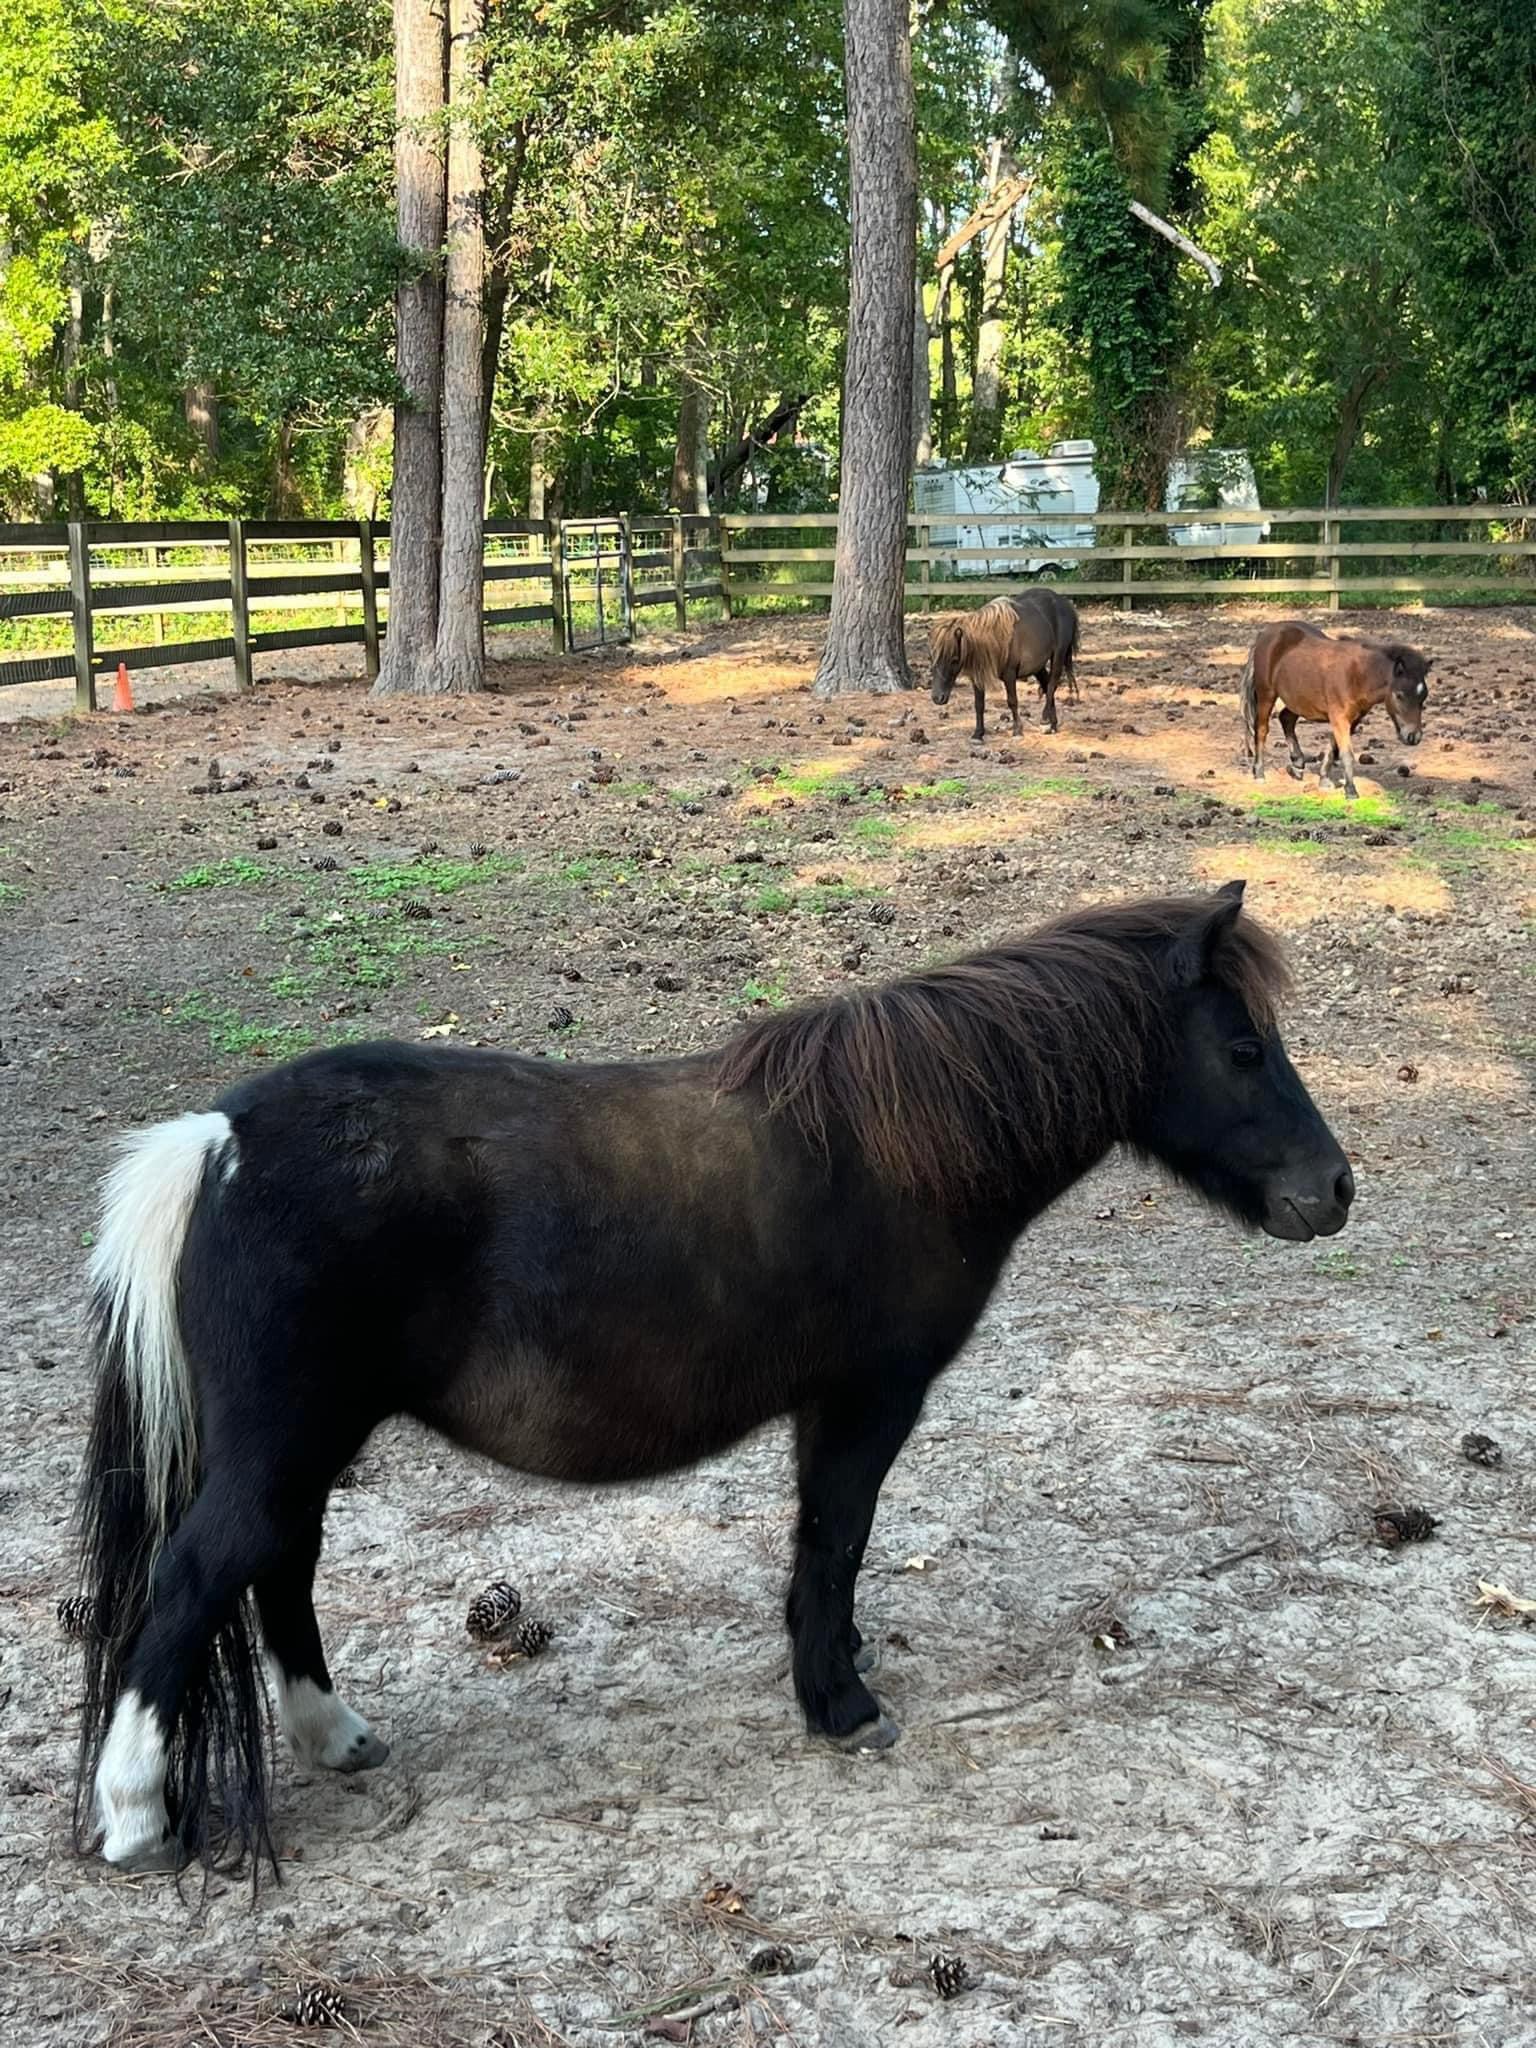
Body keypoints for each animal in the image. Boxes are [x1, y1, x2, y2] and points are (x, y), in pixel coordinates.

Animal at [71, 884, 1353, 1877]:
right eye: (1245, 1048)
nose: (1333, 1189)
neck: (903, 1148)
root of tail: (218, 1138)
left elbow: (828, 1549)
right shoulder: (866, 1400)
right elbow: (834, 1539)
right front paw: (841, 1705)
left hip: (306, 1447)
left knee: (277, 1572)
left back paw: (333, 1734)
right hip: (285, 1446)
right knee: (198, 1579)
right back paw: (135, 1816)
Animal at [929, 597, 1062, 740]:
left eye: (954, 659)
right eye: (932, 658)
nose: (937, 698)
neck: (996, 640)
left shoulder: (1010, 675)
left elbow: (1012, 701)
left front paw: (1017, 730)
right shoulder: (977, 677)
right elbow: (979, 704)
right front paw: (978, 733)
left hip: (1058, 657)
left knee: (1051, 686)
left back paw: (1046, 722)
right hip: (1038, 667)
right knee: (1047, 685)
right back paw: (1051, 724)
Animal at [1240, 622, 1430, 799]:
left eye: (1423, 696)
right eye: (1399, 695)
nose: (1413, 737)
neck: (1358, 674)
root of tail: (1266, 633)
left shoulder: (1352, 719)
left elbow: (1334, 747)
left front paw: (1324, 780)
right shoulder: (1339, 717)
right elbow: (1346, 753)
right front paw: (1351, 791)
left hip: (1298, 698)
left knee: (1286, 718)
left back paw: (1297, 764)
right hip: (1267, 694)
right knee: (1262, 729)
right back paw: (1259, 773)